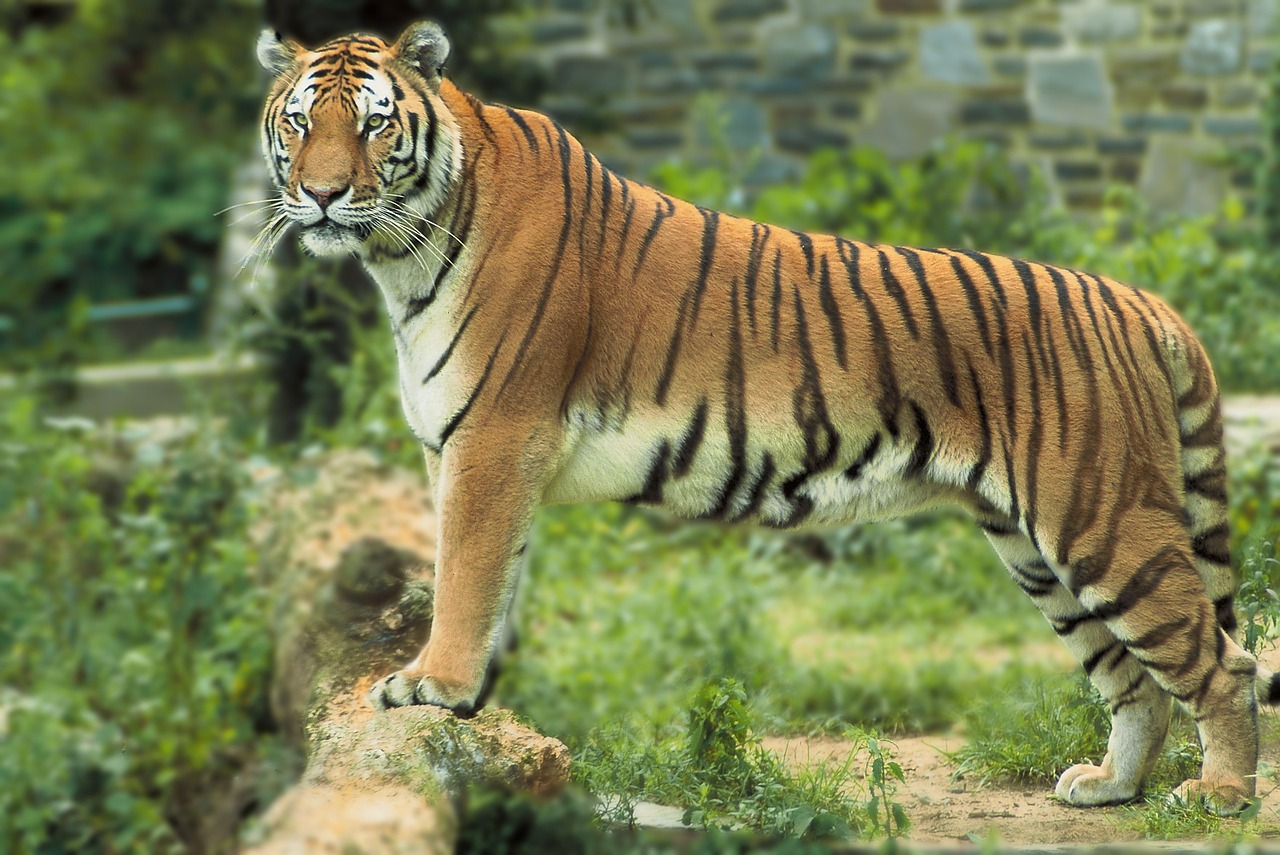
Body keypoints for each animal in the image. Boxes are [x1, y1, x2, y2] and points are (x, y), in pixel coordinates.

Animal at [254, 18, 1274, 808]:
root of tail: (1140, 300)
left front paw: (432, 684)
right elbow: (491, 578)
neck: (402, 255)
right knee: (1135, 678)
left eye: (375, 125)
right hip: (1036, 547)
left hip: (1103, 520)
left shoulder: (494, 439)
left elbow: (463, 574)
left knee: (1223, 662)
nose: (322, 194)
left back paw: (1219, 793)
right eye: (301, 122)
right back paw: (1110, 786)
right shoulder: (467, 450)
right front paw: (474, 703)